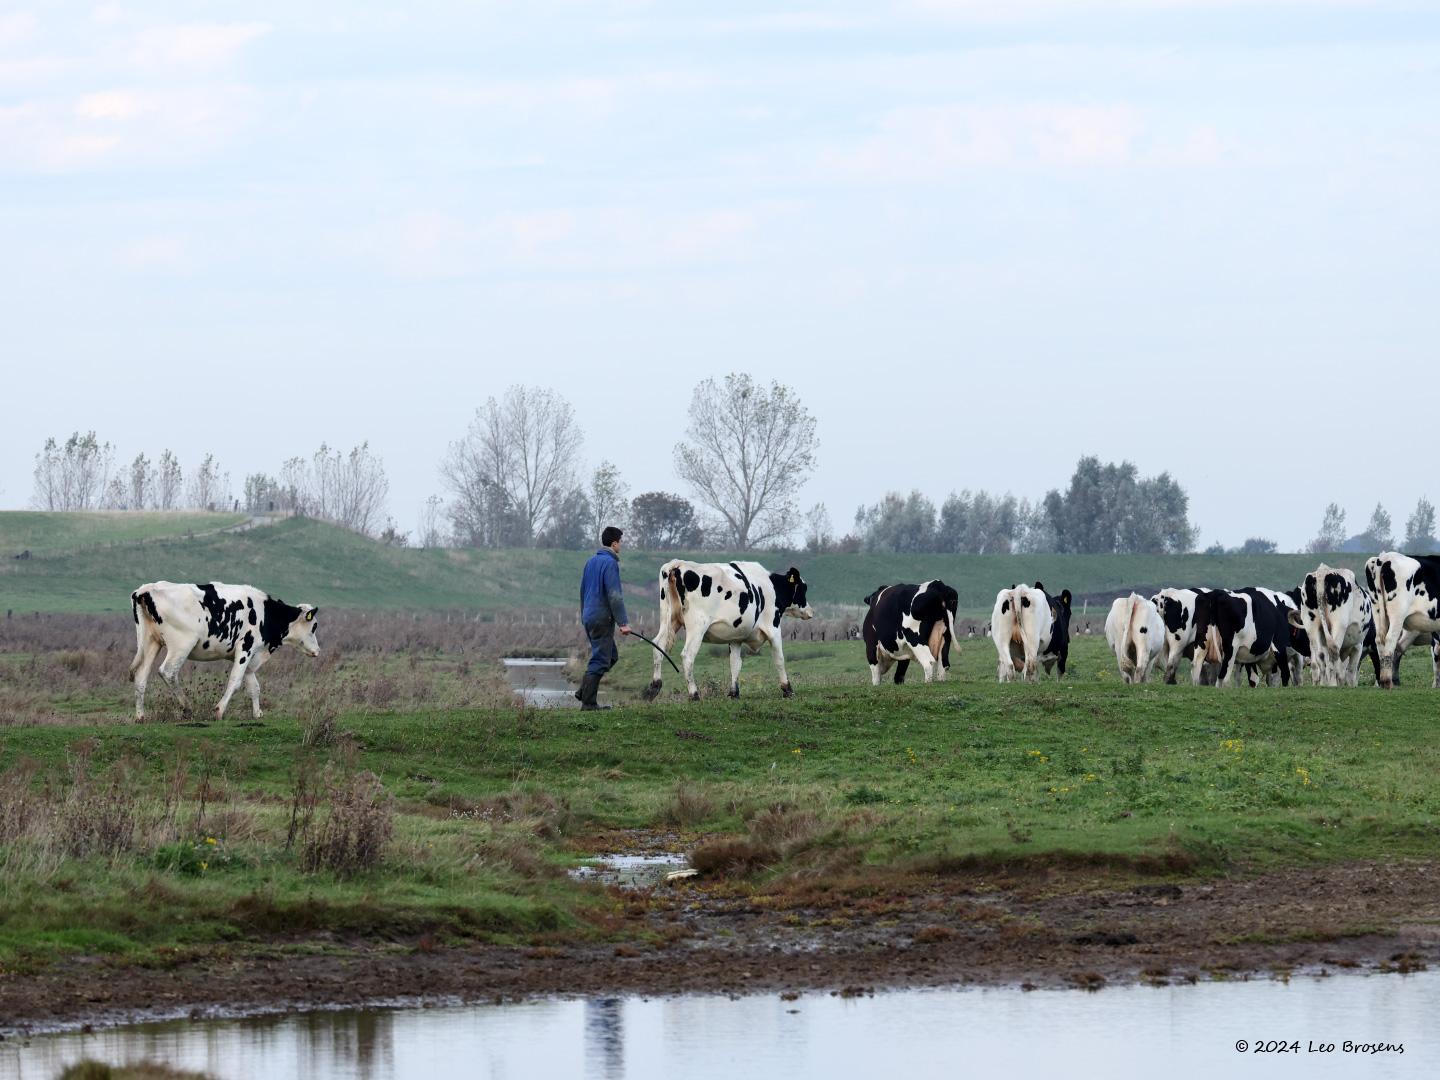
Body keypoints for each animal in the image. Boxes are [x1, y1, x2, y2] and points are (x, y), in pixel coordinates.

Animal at [130, 578, 321, 722]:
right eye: (314, 626)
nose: (317, 650)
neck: (265, 614)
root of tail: (146, 589)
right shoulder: (246, 648)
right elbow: (235, 681)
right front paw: (219, 711)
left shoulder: (250, 656)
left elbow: (254, 686)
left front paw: (257, 714)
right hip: (182, 644)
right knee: (168, 672)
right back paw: (187, 708)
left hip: (150, 642)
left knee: (141, 676)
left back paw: (140, 716)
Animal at [639, 561, 812, 705]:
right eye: (803, 588)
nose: (811, 611)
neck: (771, 587)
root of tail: (677, 565)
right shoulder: (773, 628)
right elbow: (779, 659)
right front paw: (787, 689)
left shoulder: (735, 637)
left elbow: (735, 663)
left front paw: (734, 693)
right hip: (697, 626)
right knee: (687, 655)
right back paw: (694, 694)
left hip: (668, 619)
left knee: (658, 645)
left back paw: (654, 688)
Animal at [1359, 552, 1440, 688]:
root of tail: (1383, 558)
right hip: (1397, 615)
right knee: (1391, 640)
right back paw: (1388, 682)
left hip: (1377, 611)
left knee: (1381, 642)